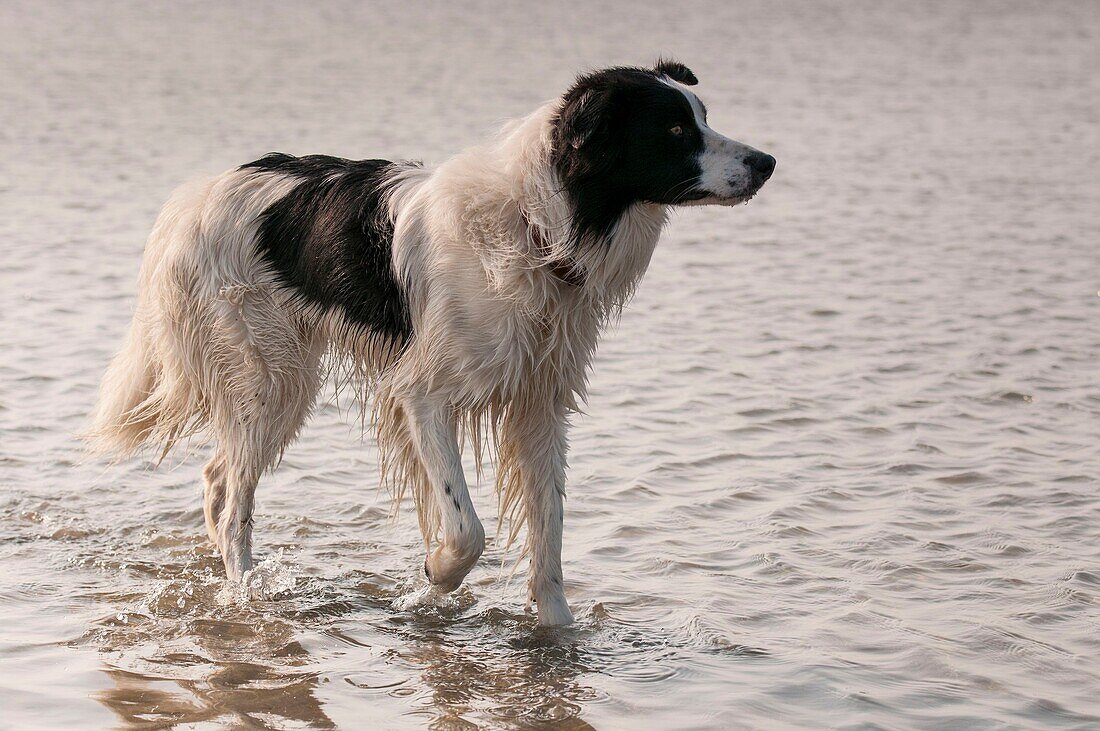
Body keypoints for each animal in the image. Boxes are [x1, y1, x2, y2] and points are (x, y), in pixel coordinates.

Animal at [90, 59, 774, 624]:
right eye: (676, 131)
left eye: (704, 117)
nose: (767, 162)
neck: (537, 227)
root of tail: (194, 196)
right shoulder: (422, 396)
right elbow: (467, 530)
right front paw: (433, 580)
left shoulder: (540, 406)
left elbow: (549, 540)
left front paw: (556, 638)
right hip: (272, 376)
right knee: (233, 502)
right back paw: (247, 594)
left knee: (217, 478)